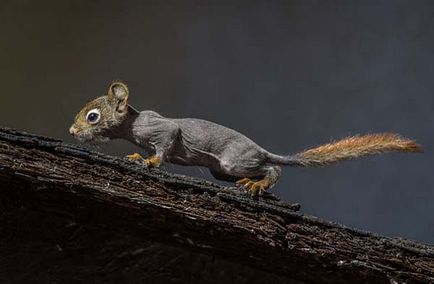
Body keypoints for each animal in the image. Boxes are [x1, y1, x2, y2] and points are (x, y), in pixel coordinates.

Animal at [69, 81, 422, 195]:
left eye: (93, 116)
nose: (72, 131)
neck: (133, 122)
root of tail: (262, 150)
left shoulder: (163, 131)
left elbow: (164, 147)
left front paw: (146, 160)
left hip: (233, 161)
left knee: (273, 168)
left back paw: (259, 183)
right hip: (221, 170)